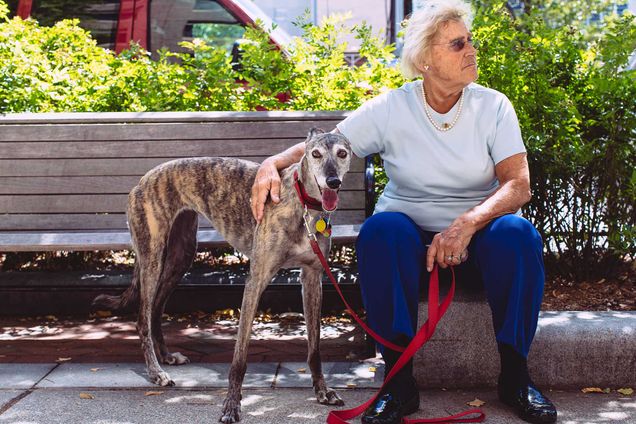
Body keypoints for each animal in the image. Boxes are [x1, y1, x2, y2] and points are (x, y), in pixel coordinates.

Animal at [94, 127, 352, 422]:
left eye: (342, 153)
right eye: (315, 154)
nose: (332, 182)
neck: (303, 205)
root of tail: (144, 178)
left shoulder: (312, 277)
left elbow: (315, 348)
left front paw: (322, 391)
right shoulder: (256, 280)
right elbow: (239, 358)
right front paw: (231, 405)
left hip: (181, 255)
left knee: (157, 308)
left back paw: (167, 356)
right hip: (152, 257)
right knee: (143, 318)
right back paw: (156, 372)